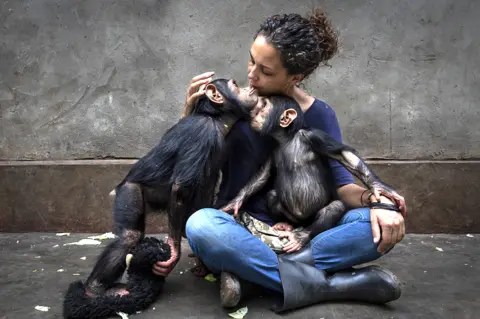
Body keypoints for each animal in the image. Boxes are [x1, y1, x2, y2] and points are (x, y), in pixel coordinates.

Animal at [223, 95, 404, 252]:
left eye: (265, 106)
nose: (255, 111)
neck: (288, 138)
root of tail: (303, 222)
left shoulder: (314, 136)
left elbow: (344, 155)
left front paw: (379, 187)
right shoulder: (272, 150)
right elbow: (263, 174)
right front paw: (235, 203)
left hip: (314, 218)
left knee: (334, 208)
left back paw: (302, 236)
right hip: (292, 216)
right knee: (272, 195)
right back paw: (285, 224)